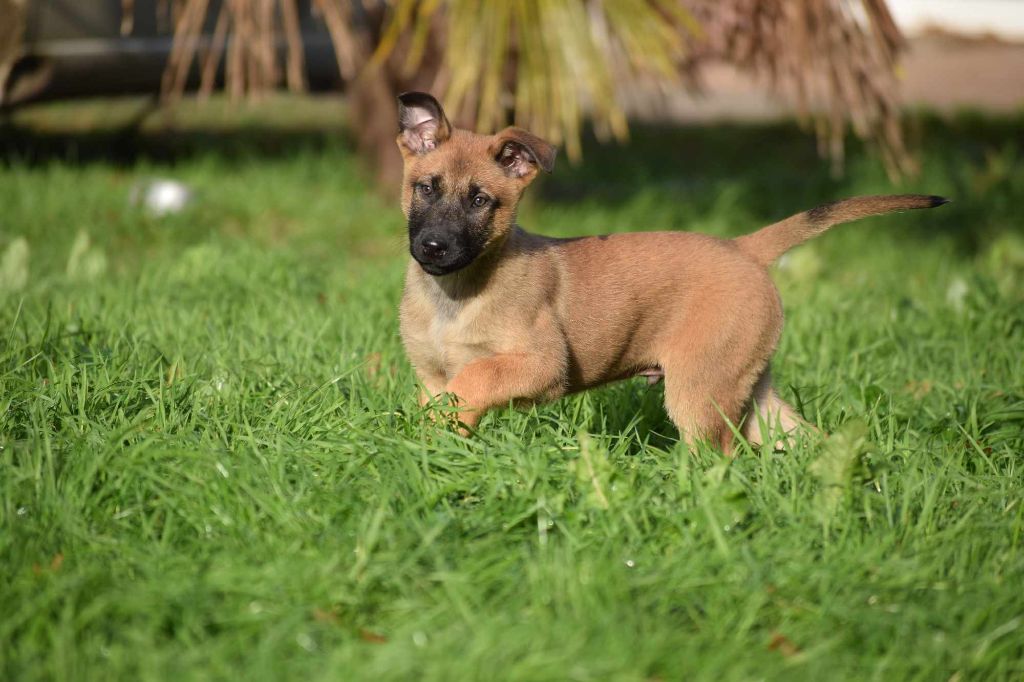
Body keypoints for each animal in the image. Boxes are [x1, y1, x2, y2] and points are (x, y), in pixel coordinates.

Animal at [395, 90, 946, 450]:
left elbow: (476, 377)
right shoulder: (431, 375)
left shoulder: (542, 365)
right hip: (745, 382)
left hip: (699, 389)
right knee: (800, 436)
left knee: (725, 456)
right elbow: (443, 401)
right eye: (426, 188)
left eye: (480, 201)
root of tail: (742, 247)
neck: (456, 295)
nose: (433, 247)